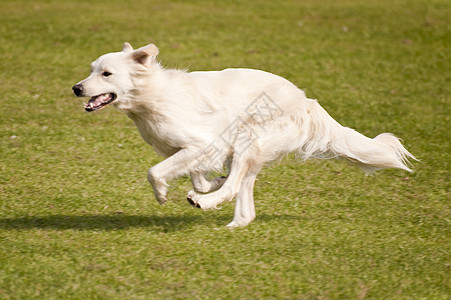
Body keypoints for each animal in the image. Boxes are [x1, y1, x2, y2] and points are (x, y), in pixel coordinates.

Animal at [73, 42, 416, 227]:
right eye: (91, 69)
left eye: (106, 74)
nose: (76, 88)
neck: (151, 96)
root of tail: (306, 102)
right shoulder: (189, 151)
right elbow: (198, 177)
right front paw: (207, 185)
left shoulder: (202, 143)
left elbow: (155, 172)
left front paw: (164, 194)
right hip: (247, 150)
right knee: (243, 194)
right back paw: (234, 220)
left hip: (248, 139)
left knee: (236, 185)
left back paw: (207, 204)